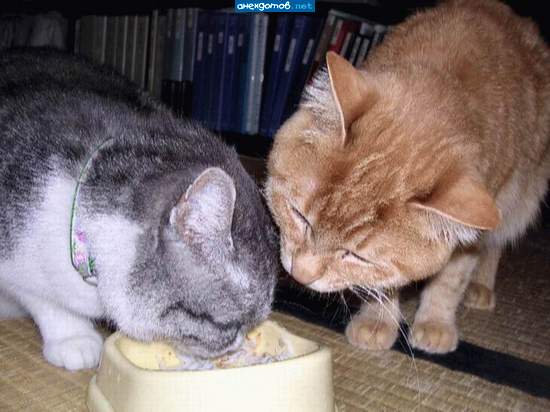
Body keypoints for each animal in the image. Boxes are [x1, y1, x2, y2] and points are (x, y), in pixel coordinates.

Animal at [265, 0, 550, 354]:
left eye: (356, 256)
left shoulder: (475, 227)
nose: (302, 275)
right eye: (300, 216)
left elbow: (450, 279)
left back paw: (481, 286)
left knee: (497, 242)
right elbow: (384, 285)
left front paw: (436, 322)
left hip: (517, 202)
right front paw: (378, 318)